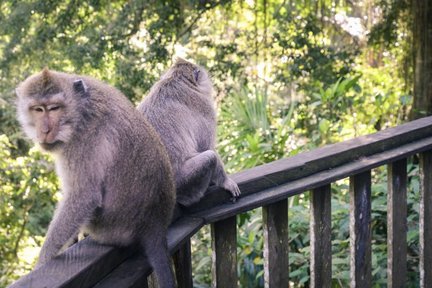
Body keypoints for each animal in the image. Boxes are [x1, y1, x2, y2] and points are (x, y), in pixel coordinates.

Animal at [16, 68, 176, 286]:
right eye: (38, 109)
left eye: (54, 108)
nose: (45, 130)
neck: (80, 110)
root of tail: (156, 223)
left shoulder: (82, 142)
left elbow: (84, 196)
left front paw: (42, 262)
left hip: (108, 229)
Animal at [138, 58, 241, 208]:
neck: (176, 80)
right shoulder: (205, 108)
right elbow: (207, 148)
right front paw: (226, 182)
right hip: (184, 182)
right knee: (210, 157)